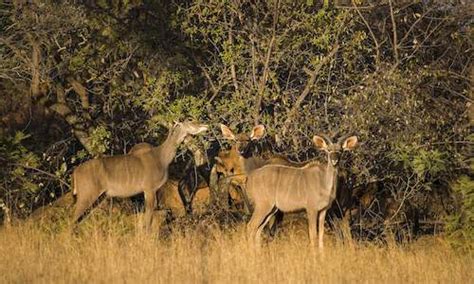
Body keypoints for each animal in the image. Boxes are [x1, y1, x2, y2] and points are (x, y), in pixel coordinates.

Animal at [71, 121, 208, 230]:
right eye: (190, 121)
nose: (205, 125)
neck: (161, 158)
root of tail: (76, 172)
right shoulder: (149, 189)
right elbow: (149, 216)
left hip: (98, 197)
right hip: (86, 195)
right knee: (71, 219)